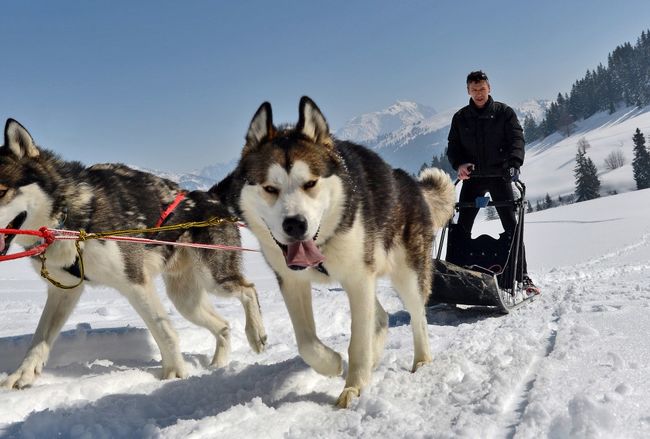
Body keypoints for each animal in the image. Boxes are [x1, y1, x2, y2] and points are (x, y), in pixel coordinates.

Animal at [0, 118, 266, 390]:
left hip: (215, 278)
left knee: (249, 289)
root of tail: (209, 195)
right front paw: (22, 374)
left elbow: (165, 332)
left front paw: (175, 374)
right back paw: (218, 365)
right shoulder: (63, 290)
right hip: (185, 300)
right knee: (223, 326)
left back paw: (256, 334)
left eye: (1, 190)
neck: (67, 215)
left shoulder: (135, 282)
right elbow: (39, 339)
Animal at [220, 97, 454, 410]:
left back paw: (422, 361)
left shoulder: (358, 279)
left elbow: (358, 340)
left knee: (418, 318)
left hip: (407, 275)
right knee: (381, 317)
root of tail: (410, 182)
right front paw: (331, 363)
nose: (295, 224)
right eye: (270, 188)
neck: (322, 245)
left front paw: (353, 388)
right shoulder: (293, 282)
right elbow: (306, 342)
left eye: (310, 183)